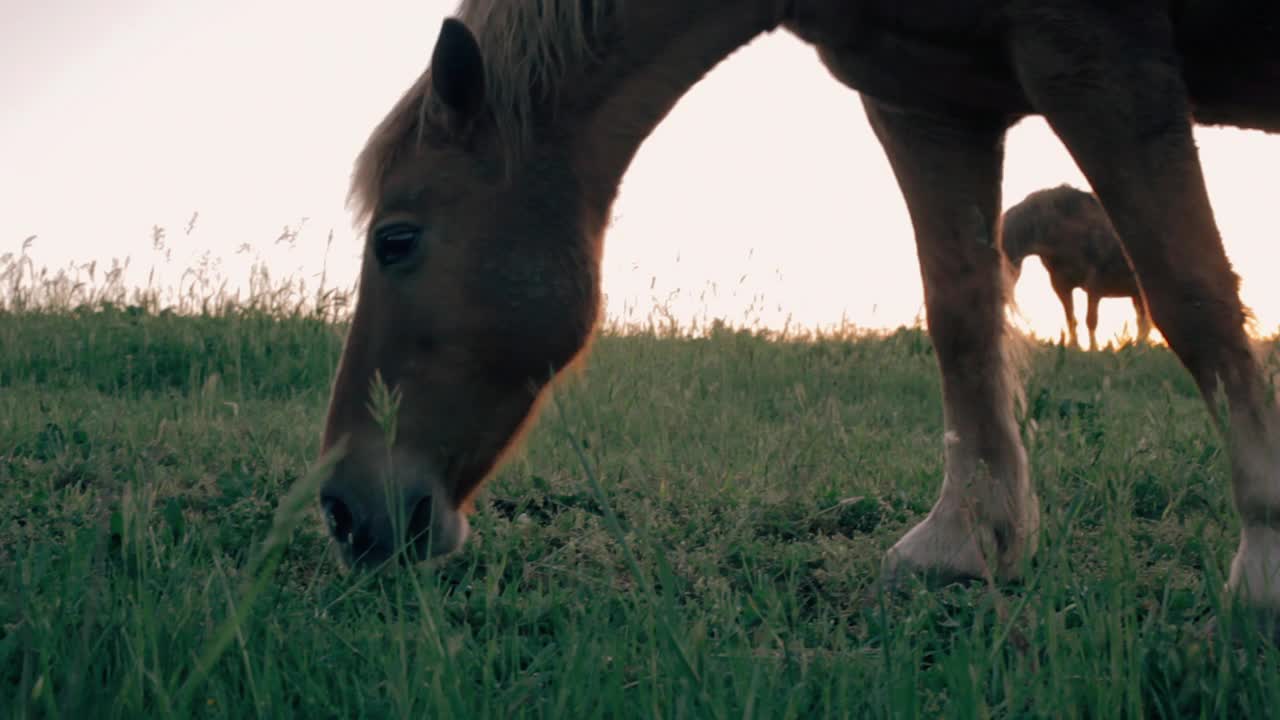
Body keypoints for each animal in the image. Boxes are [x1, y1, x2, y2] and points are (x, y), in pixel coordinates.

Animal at [1003, 184, 1157, 351]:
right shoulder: (1061, 285)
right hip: (1138, 295)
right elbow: (1071, 318)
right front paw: (1074, 346)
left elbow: (1091, 320)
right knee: (1143, 322)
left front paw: (1093, 349)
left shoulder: (1095, 285)